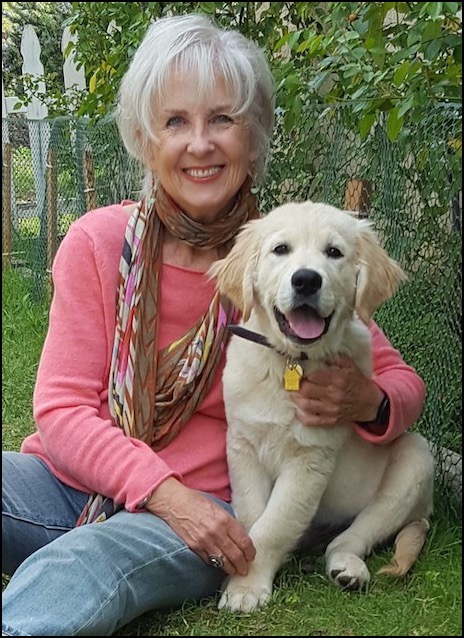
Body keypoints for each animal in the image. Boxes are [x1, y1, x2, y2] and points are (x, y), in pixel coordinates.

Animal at [210, 200, 436, 616]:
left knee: (349, 538)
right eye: (280, 249)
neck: (292, 363)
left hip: (415, 462)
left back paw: (348, 568)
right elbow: (252, 516)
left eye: (334, 252)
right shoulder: (243, 445)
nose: (306, 281)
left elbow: (274, 525)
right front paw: (243, 578)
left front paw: (247, 586)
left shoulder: (310, 460)